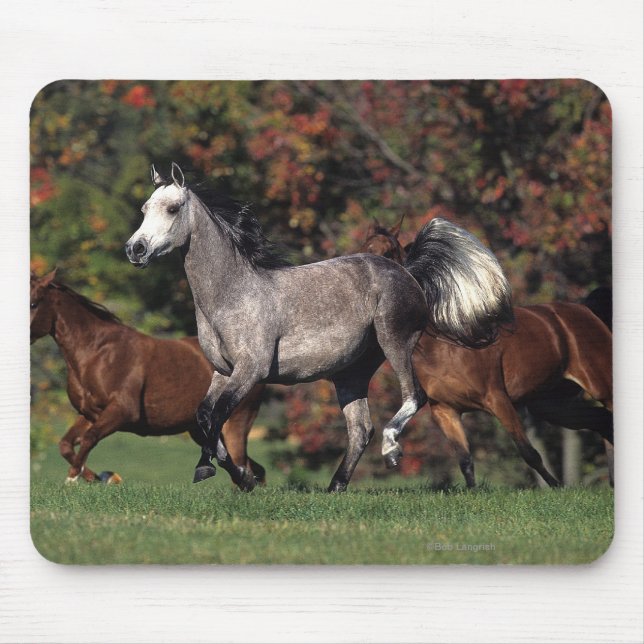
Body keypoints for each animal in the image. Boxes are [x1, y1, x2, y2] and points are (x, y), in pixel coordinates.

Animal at [30, 270, 266, 489]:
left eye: (33, 303)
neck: (97, 354)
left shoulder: (122, 411)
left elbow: (89, 438)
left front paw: (75, 479)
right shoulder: (90, 413)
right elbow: (66, 444)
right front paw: (97, 477)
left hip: (235, 424)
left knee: (241, 466)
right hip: (202, 431)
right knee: (251, 468)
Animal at [125, 163, 514, 491]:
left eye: (173, 209)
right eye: (145, 209)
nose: (135, 249)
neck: (232, 294)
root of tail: (409, 272)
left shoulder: (251, 371)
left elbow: (217, 417)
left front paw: (217, 471)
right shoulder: (222, 371)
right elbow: (204, 416)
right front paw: (239, 477)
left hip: (395, 342)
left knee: (412, 397)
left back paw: (390, 451)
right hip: (351, 373)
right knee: (360, 429)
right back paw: (334, 488)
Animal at [359, 221, 613, 487]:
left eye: (388, 253)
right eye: (363, 248)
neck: (445, 344)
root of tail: (586, 311)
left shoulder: (498, 399)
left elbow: (529, 452)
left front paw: (556, 487)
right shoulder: (446, 412)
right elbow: (465, 462)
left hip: (601, 387)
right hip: (554, 405)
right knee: (603, 422)